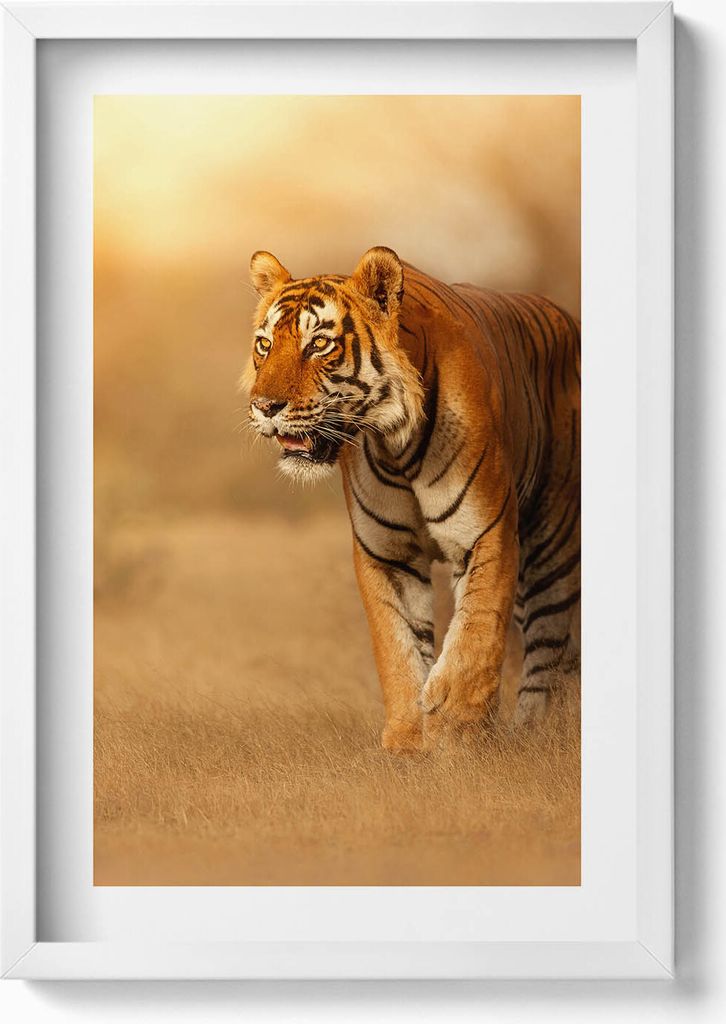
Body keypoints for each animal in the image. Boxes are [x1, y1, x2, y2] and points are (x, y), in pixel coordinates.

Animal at [243, 247, 580, 752]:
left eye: (319, 344)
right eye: (265, 345)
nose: (265, 406)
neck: (395, 444)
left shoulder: (487, 533)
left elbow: (475, 634)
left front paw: (455, 730)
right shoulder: (388, 554)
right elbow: (397, 646)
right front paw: (406, 741)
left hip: (553, 547)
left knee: (549, 653)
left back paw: (535, 736)